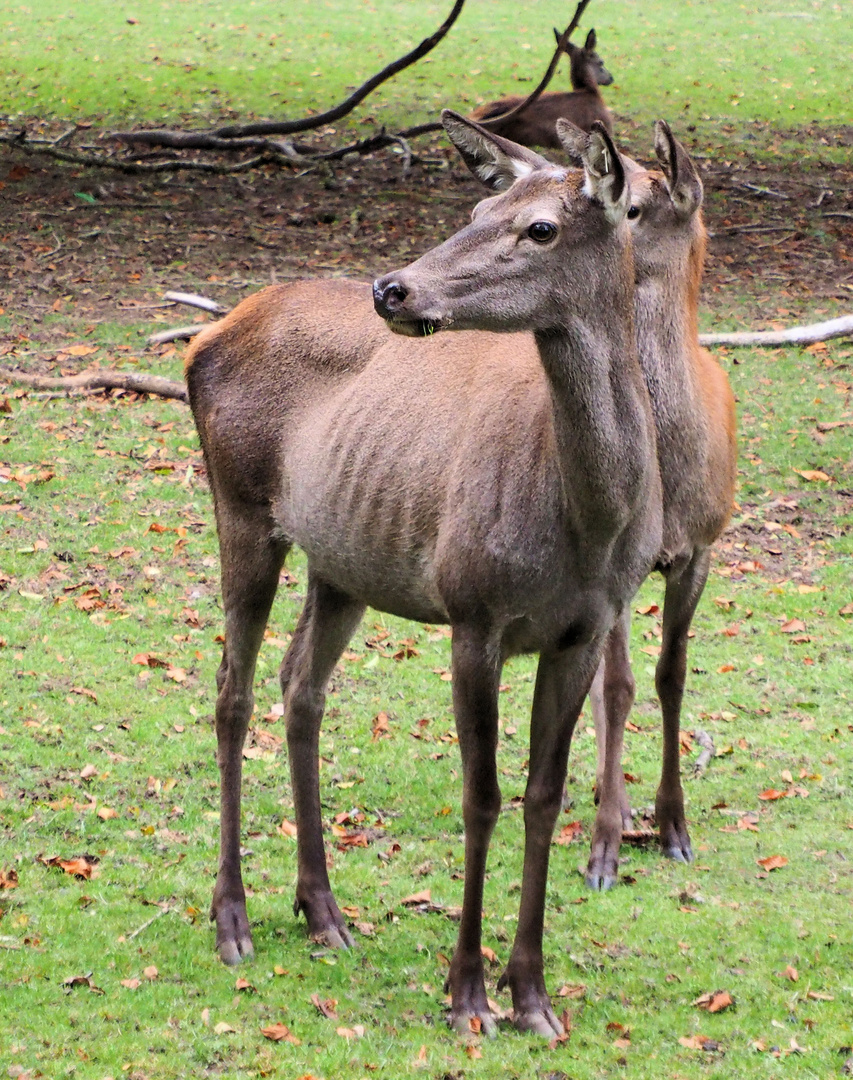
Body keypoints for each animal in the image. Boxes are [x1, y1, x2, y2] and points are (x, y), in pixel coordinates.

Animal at [186, 111, 665, 1036]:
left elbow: (542, 794)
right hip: (241, 507)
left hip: (342, 560)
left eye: (538, 226)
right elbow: (479, 795)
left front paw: (532, 995)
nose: (393, 290)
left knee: (301, 685)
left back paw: (323, 909)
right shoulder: (472, 612)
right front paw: (467, 992)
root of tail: (202, 337)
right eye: (476, 207)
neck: (590, 524)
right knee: (231, 689)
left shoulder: (585, 629)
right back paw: (231, 919)